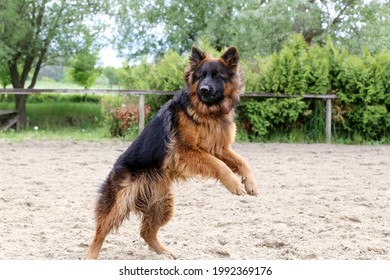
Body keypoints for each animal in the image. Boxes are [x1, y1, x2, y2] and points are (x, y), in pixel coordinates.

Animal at [87, 46, 260, 260]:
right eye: (201, 76)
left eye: (217, 76)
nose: (204, 89)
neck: (208, 113)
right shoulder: (187, 153)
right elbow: (219, 165)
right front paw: (235, 184)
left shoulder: (219, 149)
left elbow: (243, 162)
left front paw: (250, 184)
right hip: (119, 204)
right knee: (100, 230)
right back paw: (91, 256)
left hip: (163, 204)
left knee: (145, 231)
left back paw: (164, 252)